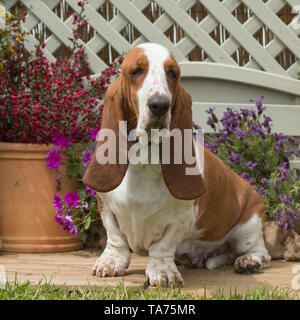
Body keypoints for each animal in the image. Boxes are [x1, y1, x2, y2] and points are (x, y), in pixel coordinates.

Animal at [82, 43, 272, 288]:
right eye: (136, 71)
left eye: (172, 73)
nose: (159, 105)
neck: (145, 154)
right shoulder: (106, 206)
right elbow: (116, 238)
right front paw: (110, 262)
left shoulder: (180, 219)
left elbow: (163, 247)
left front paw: (163, 273)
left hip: (249, 227)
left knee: (261, 252)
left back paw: (249, 262)